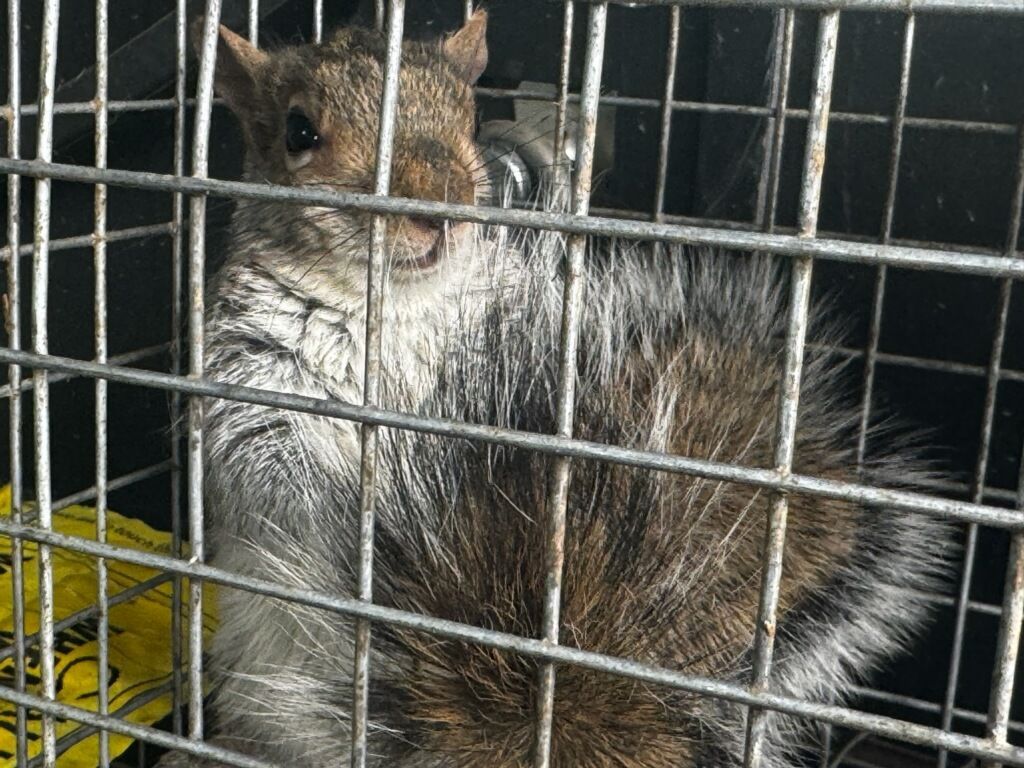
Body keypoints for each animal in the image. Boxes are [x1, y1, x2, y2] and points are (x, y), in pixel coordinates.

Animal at [154, 10, 952, 768]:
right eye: (300, 130)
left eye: (466, 115)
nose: (436, 209)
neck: (394, 303)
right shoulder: (249, 372)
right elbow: (265, 468)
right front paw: (350, 502)